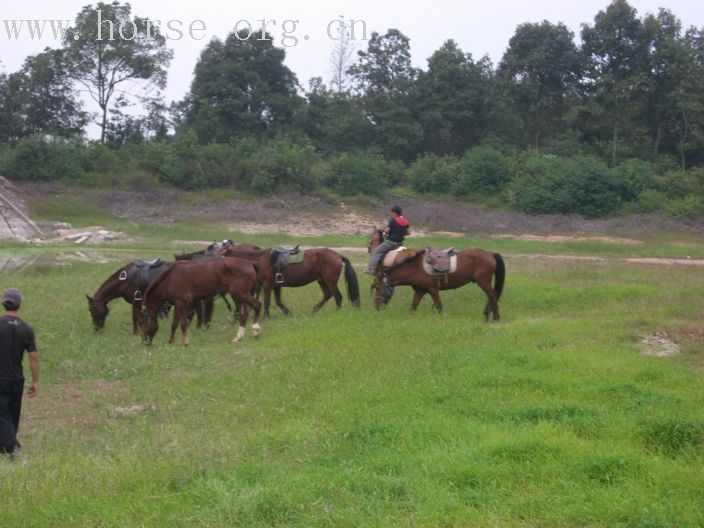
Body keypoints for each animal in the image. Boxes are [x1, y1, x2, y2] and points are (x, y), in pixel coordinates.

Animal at [220, 248, 360, 318]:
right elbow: (278, 302)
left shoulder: (267, 285)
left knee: (337, 296)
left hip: (330, 281)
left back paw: (337, 312)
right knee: (327, 295)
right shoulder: (276, 286)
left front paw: (266, 317)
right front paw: (288, 313)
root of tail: (337, 255)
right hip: (322, 280)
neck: (260, 261)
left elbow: (267, 302)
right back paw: (315, 309)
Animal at [368, 229, 506, 320]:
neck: (415, 267)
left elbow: (439, 306)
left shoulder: (433, 290)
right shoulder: (420, 291)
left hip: (483, 281)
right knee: (491, 296)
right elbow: (413, 307)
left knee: (493, 296)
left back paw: (496, 317)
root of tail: (490, 253)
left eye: (379, 288)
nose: (376, 306)